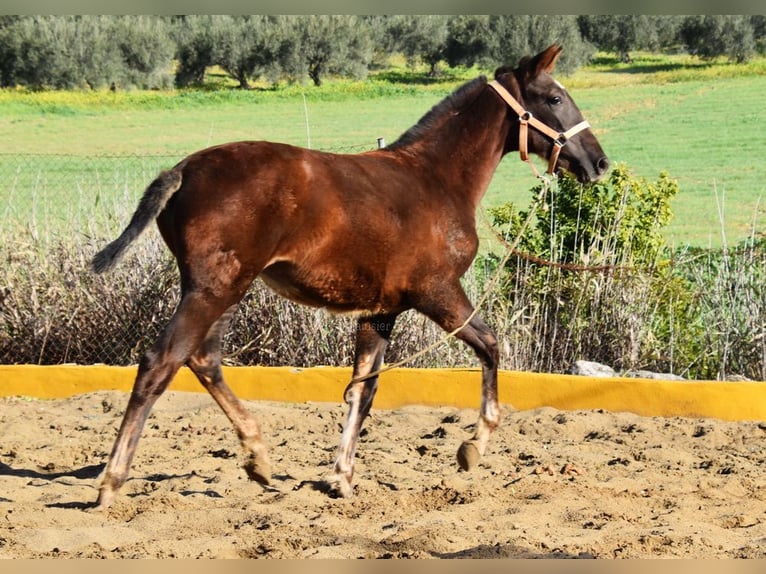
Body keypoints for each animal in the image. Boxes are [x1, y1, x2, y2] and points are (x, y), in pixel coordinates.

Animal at [87, 46, 608, 512]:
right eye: (554, 98)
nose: (598, 163)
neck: (436, 181)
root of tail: (180, 170)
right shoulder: (437, 292)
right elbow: (490, 344)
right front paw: (472, 447)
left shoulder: (380, 310)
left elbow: (363, 386)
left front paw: (341, 477)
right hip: (215, 288)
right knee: (161, 361)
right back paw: (112, 482)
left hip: (222, 289)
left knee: (203, 359)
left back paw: (258, 458)